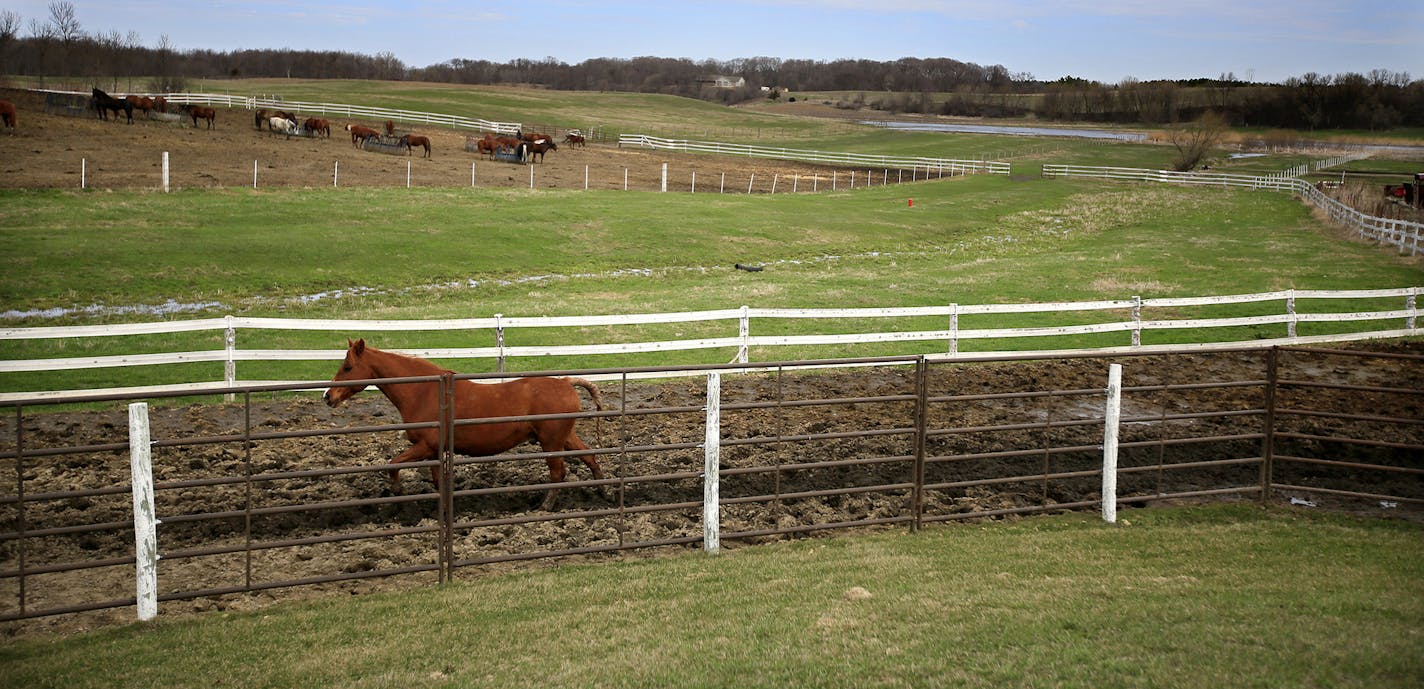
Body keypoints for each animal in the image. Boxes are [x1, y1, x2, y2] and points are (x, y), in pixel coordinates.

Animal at [323, 338, 606, 506]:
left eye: (347, 367)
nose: (328, 396)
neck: (424, 392)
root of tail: (566, 382)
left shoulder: (425, 446)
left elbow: (393, 465)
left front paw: (397, 491)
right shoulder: (433, 452)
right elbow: (437, 481)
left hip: (551, 444)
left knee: (558, 473)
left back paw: (544, 506)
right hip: (564, 438)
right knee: (590, 458)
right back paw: (604, 493)